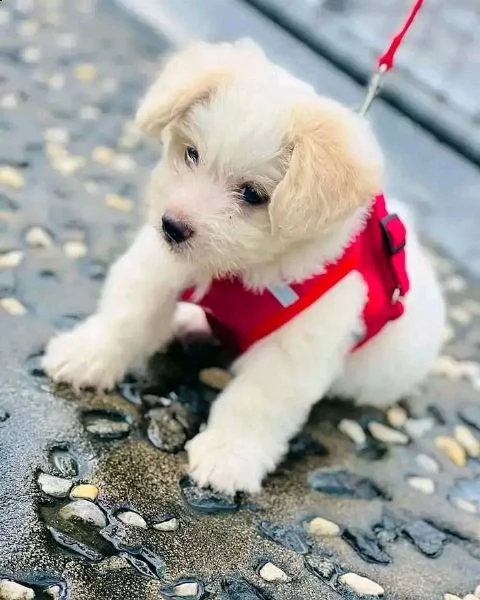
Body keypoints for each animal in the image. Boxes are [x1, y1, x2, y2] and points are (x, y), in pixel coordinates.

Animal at [43, 39, 444, 494]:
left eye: (253, 194)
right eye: (192, 154)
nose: (172, 226)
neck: (241, 270)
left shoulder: (296, 347)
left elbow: (256, 402)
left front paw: (228, 456)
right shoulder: (161, 264)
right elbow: (127, 315)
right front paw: (86, 355)